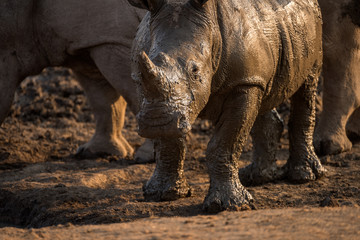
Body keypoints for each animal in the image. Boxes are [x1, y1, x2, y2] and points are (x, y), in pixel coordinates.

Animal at [129, 0, 326, 212]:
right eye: (141, 71)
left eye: (195, 71)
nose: (155, 122)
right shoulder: (162, 102)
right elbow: (169, 141)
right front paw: (161, 194)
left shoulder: (243, 83)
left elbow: (225, 142)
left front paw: (228, 205)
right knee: (264, 94)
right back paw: (258, 177)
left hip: (313, 30)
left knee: (308, 83)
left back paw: (304, 177)